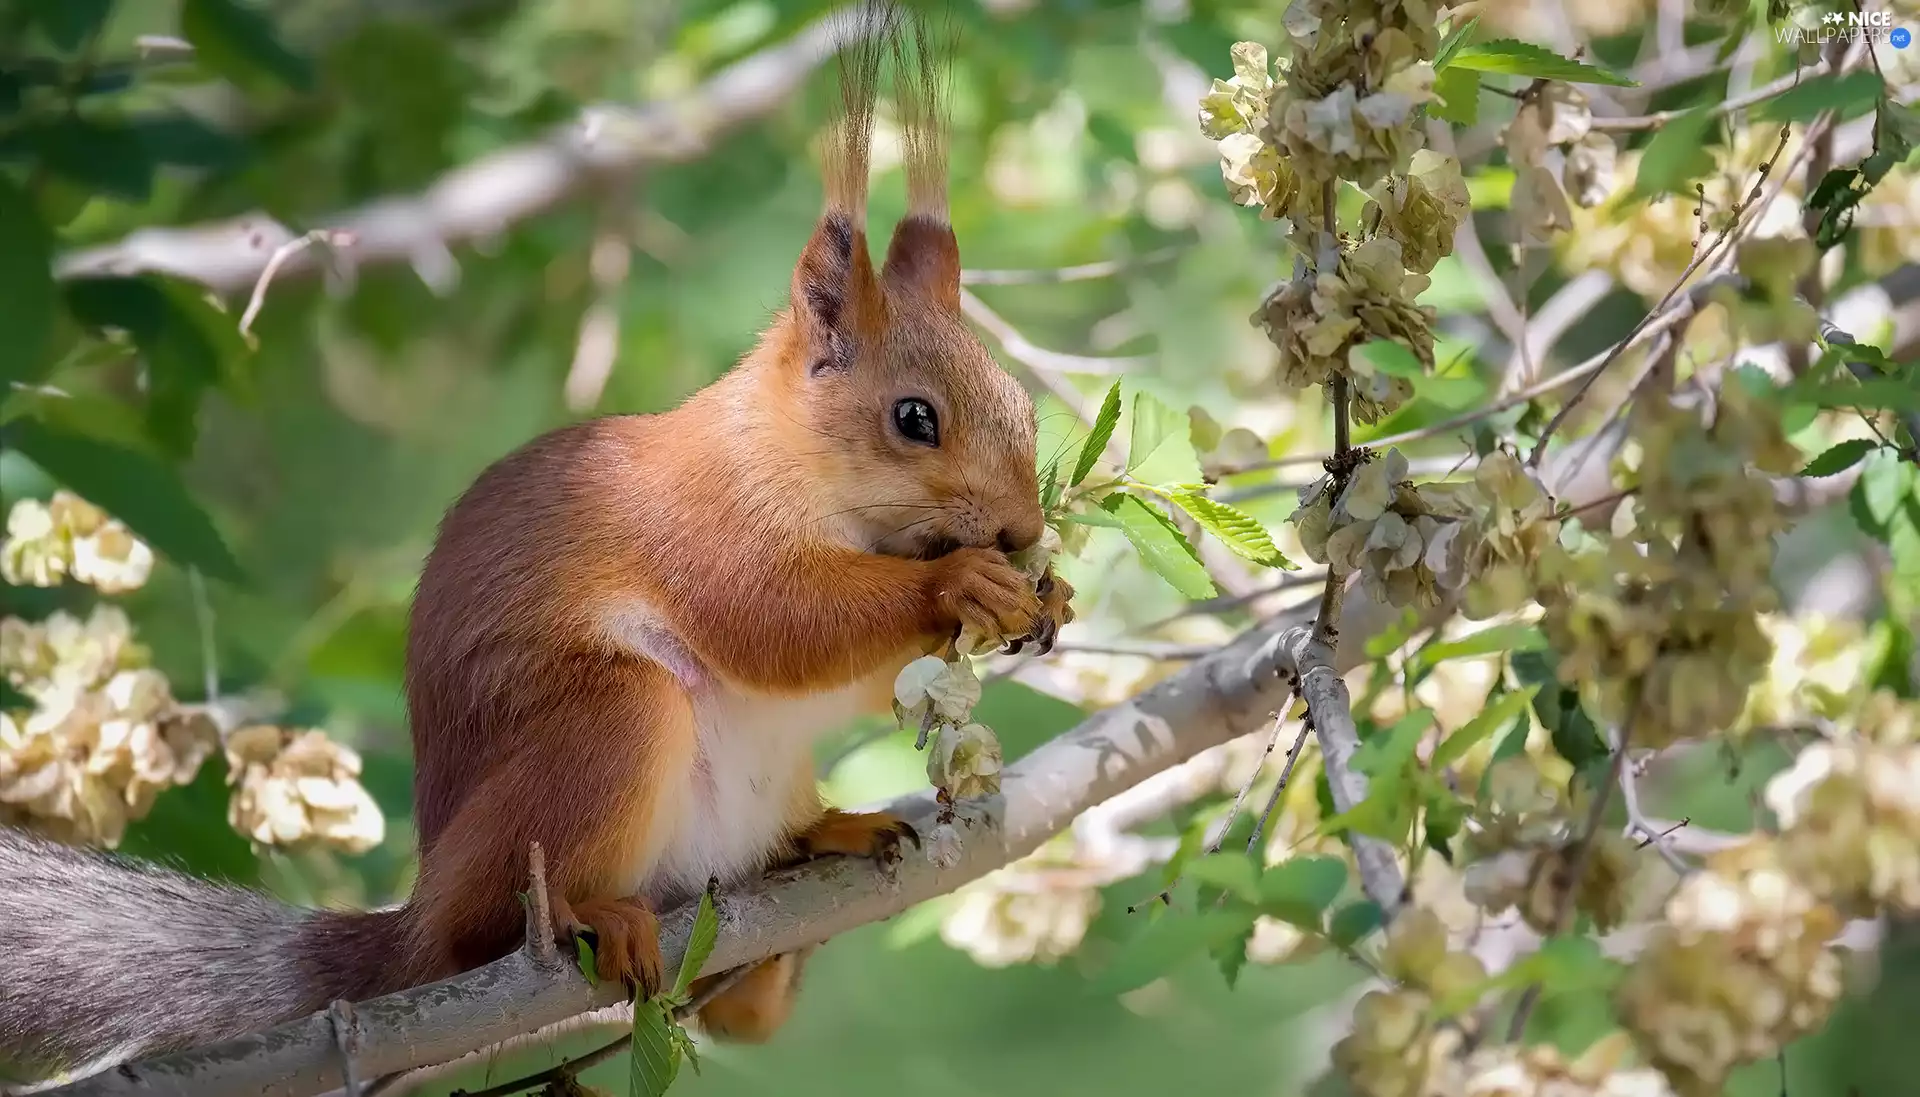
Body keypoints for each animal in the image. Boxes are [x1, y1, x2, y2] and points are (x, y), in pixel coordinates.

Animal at [0, 6, 1074, 1084]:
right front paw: (960, 581)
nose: (1024, 529)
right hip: (597, 737)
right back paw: (593, 915)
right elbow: (774, 623)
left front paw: (1048, 597)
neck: (792, 462)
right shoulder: (702, 526)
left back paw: (815, 857)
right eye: (914, 417)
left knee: (740, 1008)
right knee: (493, 924)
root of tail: (413, 927)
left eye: (1025, 406)